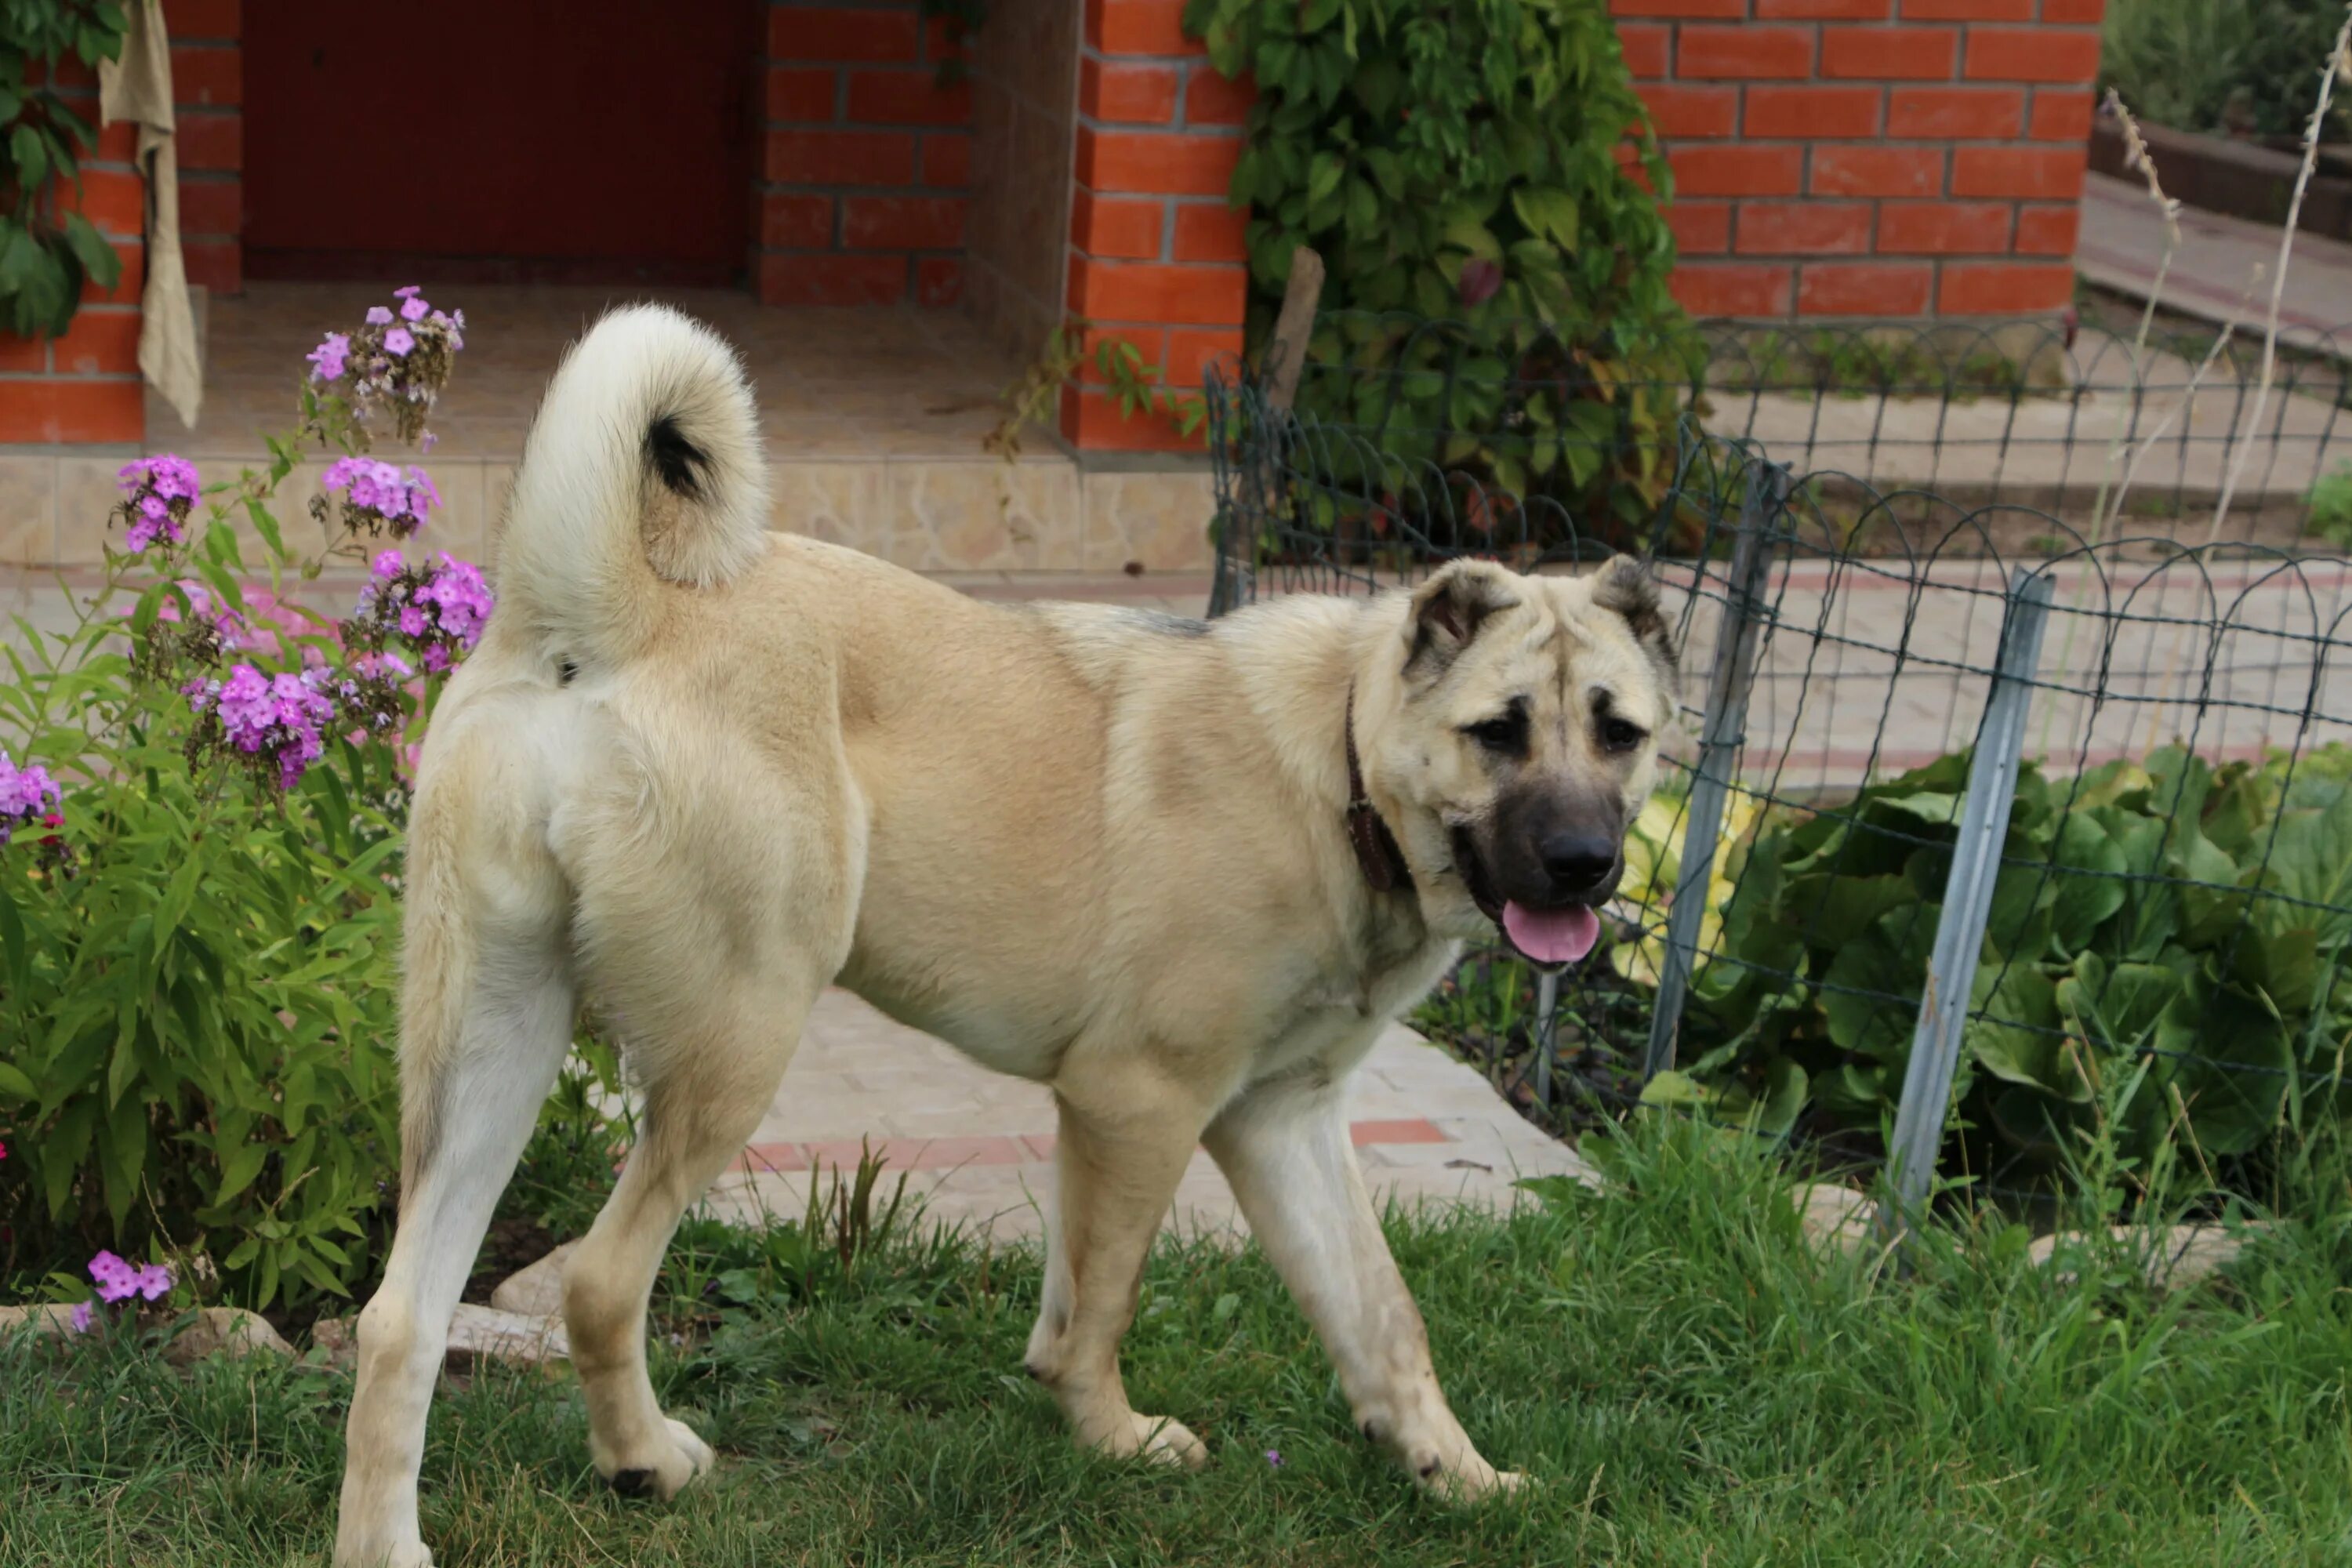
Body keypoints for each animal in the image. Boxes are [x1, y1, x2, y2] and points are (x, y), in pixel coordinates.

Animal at [336, 305, 1675, 1568]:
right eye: (1499, 732)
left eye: (1622, 734)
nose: (1586, 865)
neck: (1338, 761)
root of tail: (611, 609)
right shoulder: (1142, 1102)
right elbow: (1109, 1300)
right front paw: (1116, 1439)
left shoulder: (1280, 1119)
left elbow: (1377, 1314)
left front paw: (1458, 1476)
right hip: (734, 1043)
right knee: (603, 1282)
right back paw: (645, 1463)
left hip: (488, 1053)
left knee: (403, 1315)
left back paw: (387, 1542)